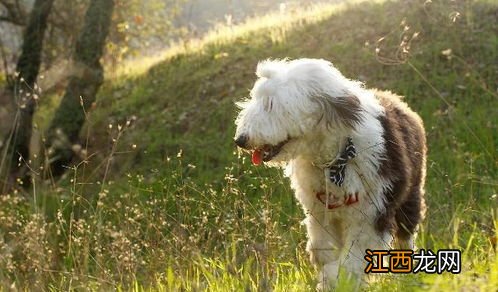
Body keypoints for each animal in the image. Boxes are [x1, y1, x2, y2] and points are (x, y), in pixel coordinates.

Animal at [235, 58, 426, 288]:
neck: (334, 161)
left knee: (406, 232)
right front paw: (328, 275)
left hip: (410, 193)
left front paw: (337, 279)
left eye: (271, 104)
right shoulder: (319, 212)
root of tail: (397, 100)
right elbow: (322, 249)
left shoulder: (372, 213)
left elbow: (353, 257)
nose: (240, 139)